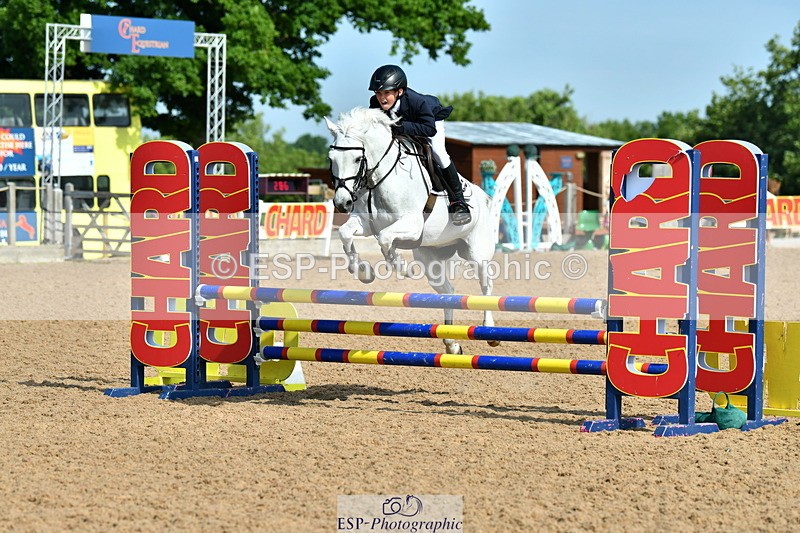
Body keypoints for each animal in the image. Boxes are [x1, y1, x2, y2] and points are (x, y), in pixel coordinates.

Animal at [325, 107, 498, 355]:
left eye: (358, 158)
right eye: (332, 159)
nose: (342, 203)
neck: (379, 178)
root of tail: (485, 198)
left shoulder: (412, 225)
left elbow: (385, 239)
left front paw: (402, 267)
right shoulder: (365, 223)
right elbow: (346, 234)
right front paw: (364, 272)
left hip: (478, 253)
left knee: (486, 286)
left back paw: (489, 330)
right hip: (429, 258)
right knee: (447, 291)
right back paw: (451, 343)